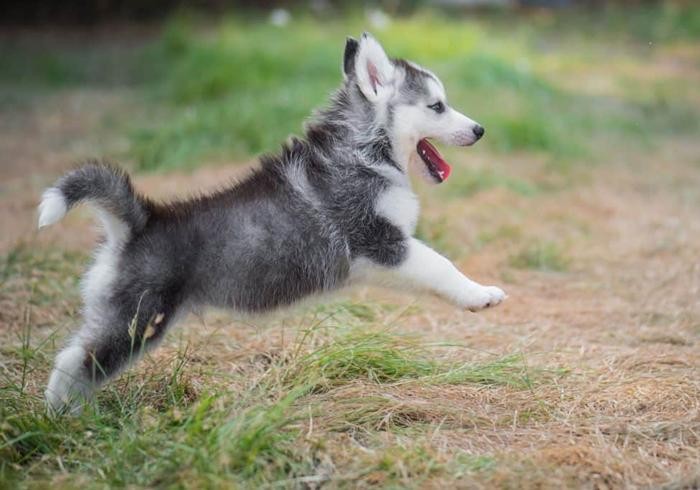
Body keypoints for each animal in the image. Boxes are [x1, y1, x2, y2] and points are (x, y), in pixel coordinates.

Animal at [39, 32, 504, 412]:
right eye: (437, 106)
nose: (481, 130)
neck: (364, 149)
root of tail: (140, 221)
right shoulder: (381, 241)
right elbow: (440, 264)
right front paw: (480, 294)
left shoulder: (380, 256)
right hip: (136, 319)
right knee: (74, 361)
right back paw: (61, 418)